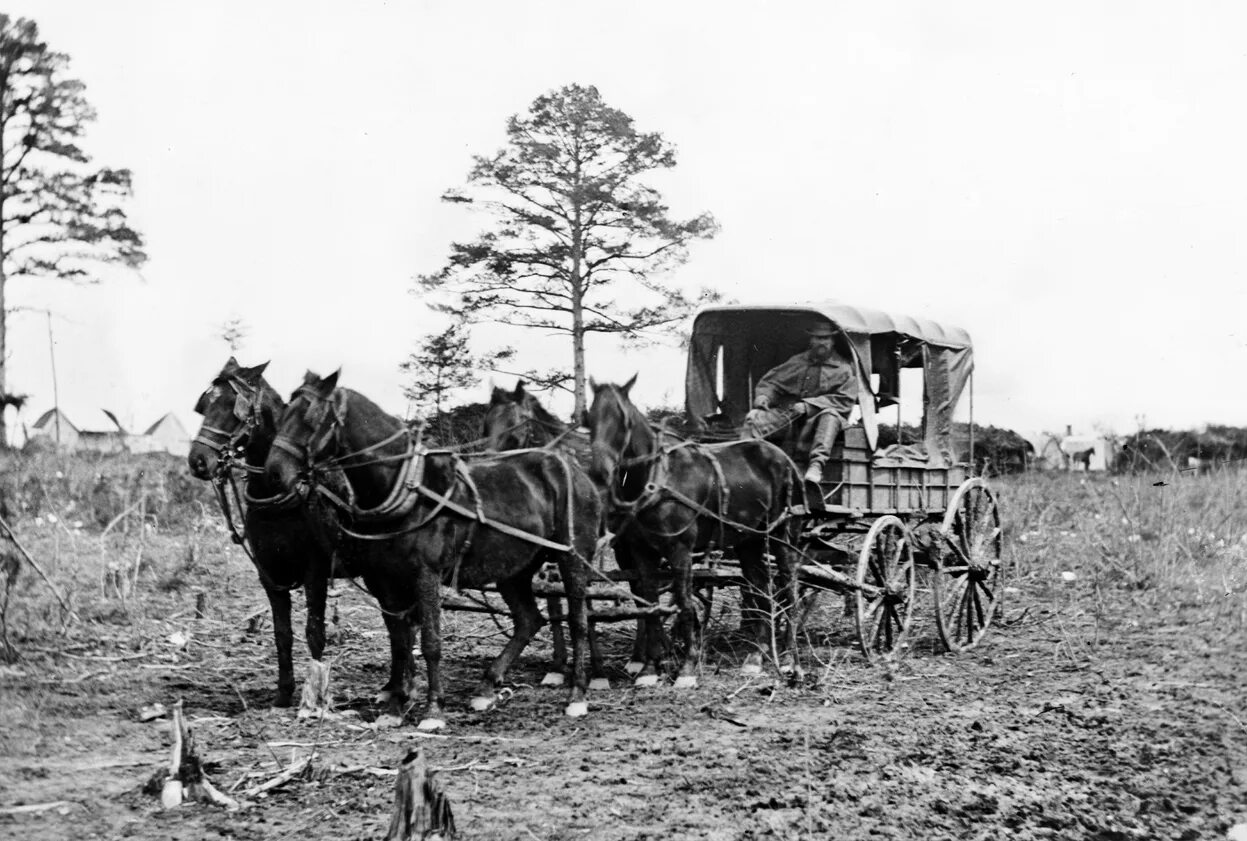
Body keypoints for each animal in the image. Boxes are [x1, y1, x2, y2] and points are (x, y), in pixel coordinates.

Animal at [265, 369, 601, 723]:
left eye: (310, 417)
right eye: (283, 412)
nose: (274, 472)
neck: (408, 488)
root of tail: (573, 469)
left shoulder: (425, 574)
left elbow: (430, 642)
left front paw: (433, 709)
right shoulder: (386, 579)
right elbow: (400, 640)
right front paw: (396, 706)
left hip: (573, 559)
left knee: (579, 620)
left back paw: (577, 692)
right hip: (514, 569)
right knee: (529, 620)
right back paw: (486, 686)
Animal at [586, 374, 803, 678]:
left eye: (624, 420)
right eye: (588, 416)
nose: (600, 471)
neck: (657, 478)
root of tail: (785, 458)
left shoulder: (680, 549)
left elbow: (685, 604)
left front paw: (687, 667)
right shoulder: (641, 552)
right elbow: (650, 605)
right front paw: (650, 668)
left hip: (782, 536)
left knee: (789, 586)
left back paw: (789, 658)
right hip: (749, 540)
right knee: (761, 587)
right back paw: (756, 656)